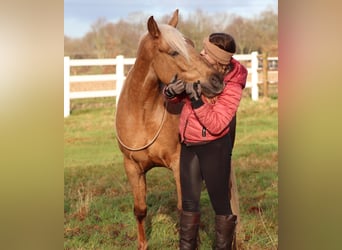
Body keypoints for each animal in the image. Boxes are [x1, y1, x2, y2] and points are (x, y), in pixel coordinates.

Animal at [116, 8, 239, 249]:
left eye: (191, 44)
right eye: (173, 52)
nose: (217, 81)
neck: (143, 116)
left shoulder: (178, 164)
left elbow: (185, 209)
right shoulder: (132, 167)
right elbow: (140, 210)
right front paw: (142, 244)